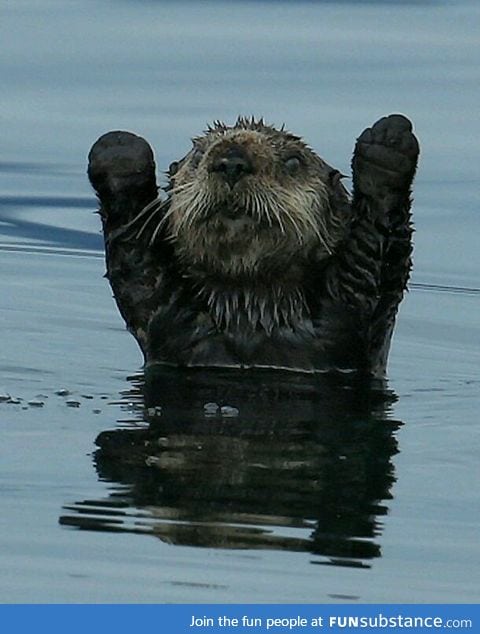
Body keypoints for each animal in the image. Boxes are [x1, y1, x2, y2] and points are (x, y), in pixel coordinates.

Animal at [88, 115, 418, 376]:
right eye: (198, 155)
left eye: (294, 161)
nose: (232, 162)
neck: (251, 311)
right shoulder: (166, 313)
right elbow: (138, 267)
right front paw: (120, 151)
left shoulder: (355, 307)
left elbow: (377, 252)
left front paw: (388, 142)